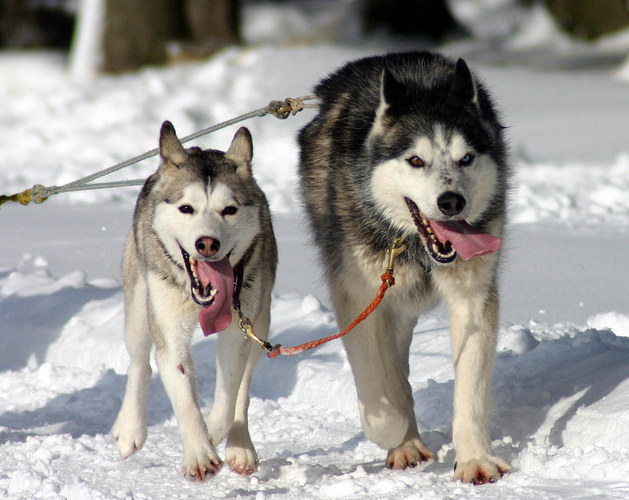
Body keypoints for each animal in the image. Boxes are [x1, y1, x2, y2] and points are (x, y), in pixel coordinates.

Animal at [111, 121, 278, 480]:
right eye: (186, 208)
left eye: (229, 210)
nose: (207, 243)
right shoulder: (169, 331)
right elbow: (184, 394)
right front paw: (200, 453)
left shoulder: (238, 331)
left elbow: (229, 395)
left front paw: (213, 431)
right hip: (139, 306)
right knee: (140, 364)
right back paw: (130, 427)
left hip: (260, 322)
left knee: (244, 386)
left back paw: (240, 445)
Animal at [300, 51, 510, 484]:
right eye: (416, 160)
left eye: (466, 158)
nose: (452, 201)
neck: (416, 247)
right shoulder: (358, 299)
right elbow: (380, 389)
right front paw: (392, 429)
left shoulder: (473, 298)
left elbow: (471, 388)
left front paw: (475, 458)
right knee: (390, 375)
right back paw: (405, 440)